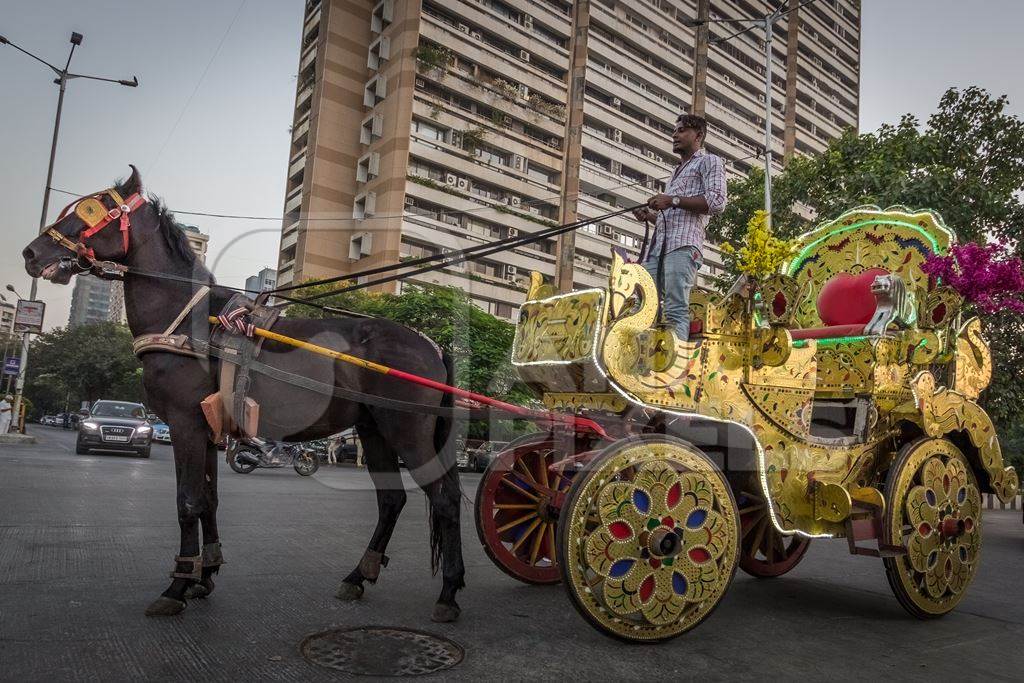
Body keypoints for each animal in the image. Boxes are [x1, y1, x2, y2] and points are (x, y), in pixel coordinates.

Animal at [19, 167, 464, 622]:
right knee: (392, 499)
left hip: (407, 428)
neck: (187, 321)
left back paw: (448, 592)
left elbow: (188, 502)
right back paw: (358, 576)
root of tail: (431, 344)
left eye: (92, 211)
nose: (31, 254)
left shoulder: (183, 423)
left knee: (445, 498)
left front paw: (177, 585)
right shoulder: (207, 427)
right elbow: (209, 500)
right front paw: (205, 574)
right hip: (374, 428)